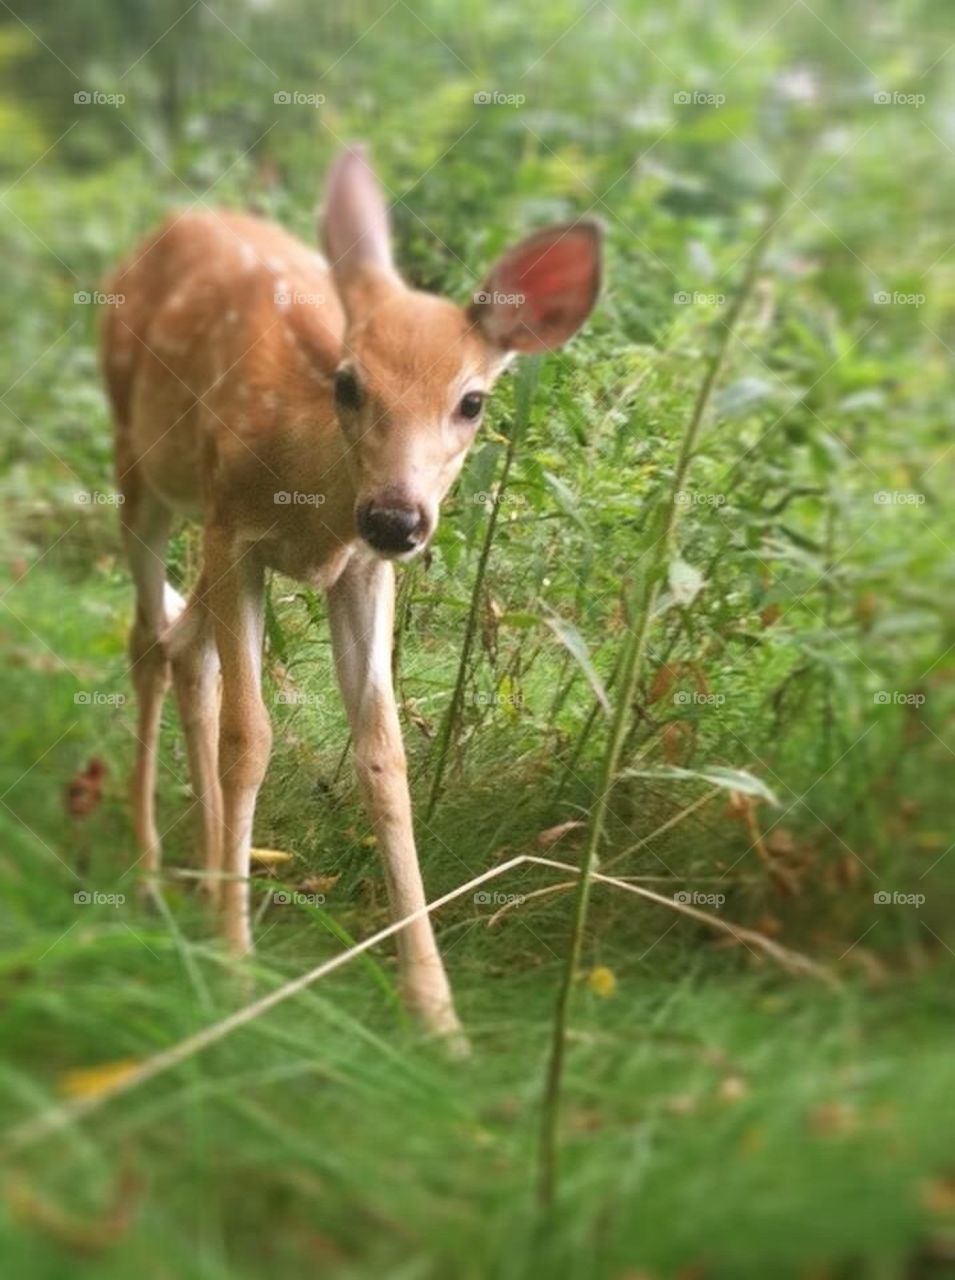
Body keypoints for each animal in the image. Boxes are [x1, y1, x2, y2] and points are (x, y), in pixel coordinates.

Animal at [100, 145, 601, 1041]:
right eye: (347, 383)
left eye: (472, 401)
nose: (396, 515)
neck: (315, 508)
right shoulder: (235, 531)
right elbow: (249, 737)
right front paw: (237, 971)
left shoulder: (363, 572)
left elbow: (384, 753)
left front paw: (436, 1012)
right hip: (140, 471)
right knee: (146, 638)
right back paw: (156, 869)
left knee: (182, 644)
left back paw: (203, 870)